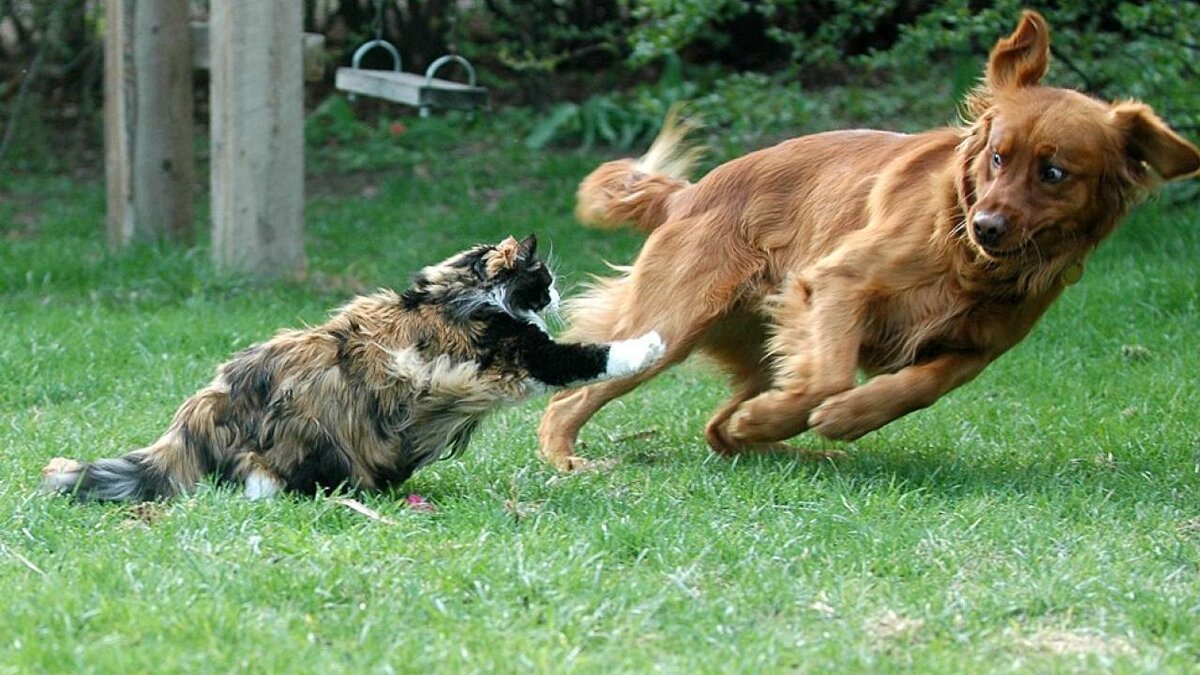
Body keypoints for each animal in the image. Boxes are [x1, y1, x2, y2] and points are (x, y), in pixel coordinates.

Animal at [44, 233, 667, 499]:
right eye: (544, 278)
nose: (557, 292)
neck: (458, 294)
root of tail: (211, 401)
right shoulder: (525, 352)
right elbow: (595, 355)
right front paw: (654, 343)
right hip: (306, 440)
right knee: (261, 474)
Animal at [540, 10, 1195, 468]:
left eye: (1053, 173)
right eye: (997, 157)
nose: (987, 225)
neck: (965, 255)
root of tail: (686, 194)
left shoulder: (975, 349)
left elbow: (918, 388)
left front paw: (847, 418)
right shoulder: (838, 282)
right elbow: (830, 375)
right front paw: (804, 414)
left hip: (759, 342)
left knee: (718, 429)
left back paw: (785, 442)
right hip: (671, 326)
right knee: (567, 401)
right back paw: (570, 459)